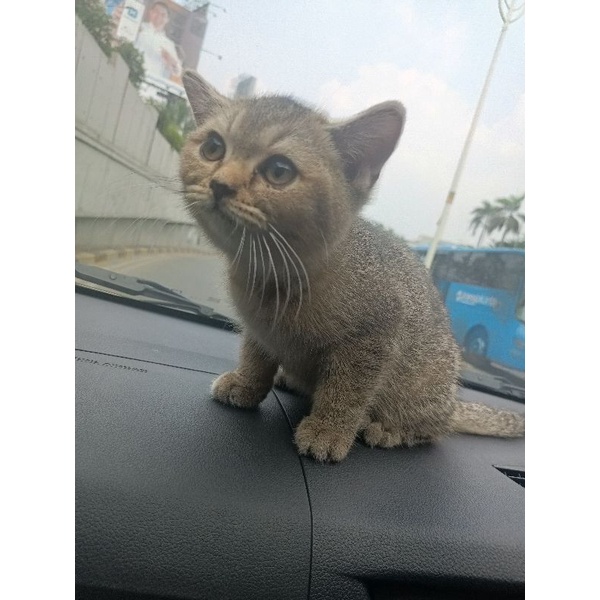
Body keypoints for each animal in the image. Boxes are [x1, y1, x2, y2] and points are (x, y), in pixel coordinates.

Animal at [179, 71, 524, 464]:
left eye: (279, 171)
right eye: (212, 147)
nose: (220, 185)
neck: (276, 278)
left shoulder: (375, 334)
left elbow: (348, 389)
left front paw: (329, 429)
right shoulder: (259, 329)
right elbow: (256, 354)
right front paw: (247, 381)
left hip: (426, 388)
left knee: (434, 428)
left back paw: (391, 429)